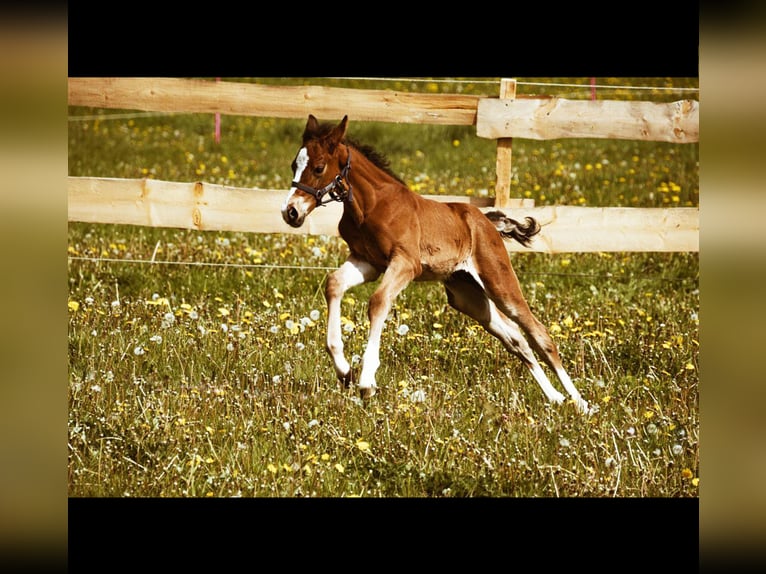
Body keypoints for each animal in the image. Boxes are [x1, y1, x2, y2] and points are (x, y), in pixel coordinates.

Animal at [282, 116, 588, 414]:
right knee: (516, 340)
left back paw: (580, 403)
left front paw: (367, 381)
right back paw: (555, 398)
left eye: (319, 167)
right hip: (467, 295)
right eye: (293, 165)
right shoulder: (367, 261)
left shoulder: (406, 263)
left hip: (498, 282)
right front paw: (344, 370)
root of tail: (487, 220)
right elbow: (334, 283)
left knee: (539, 334)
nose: (290, 212)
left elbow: (378, 301)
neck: (371, 206)